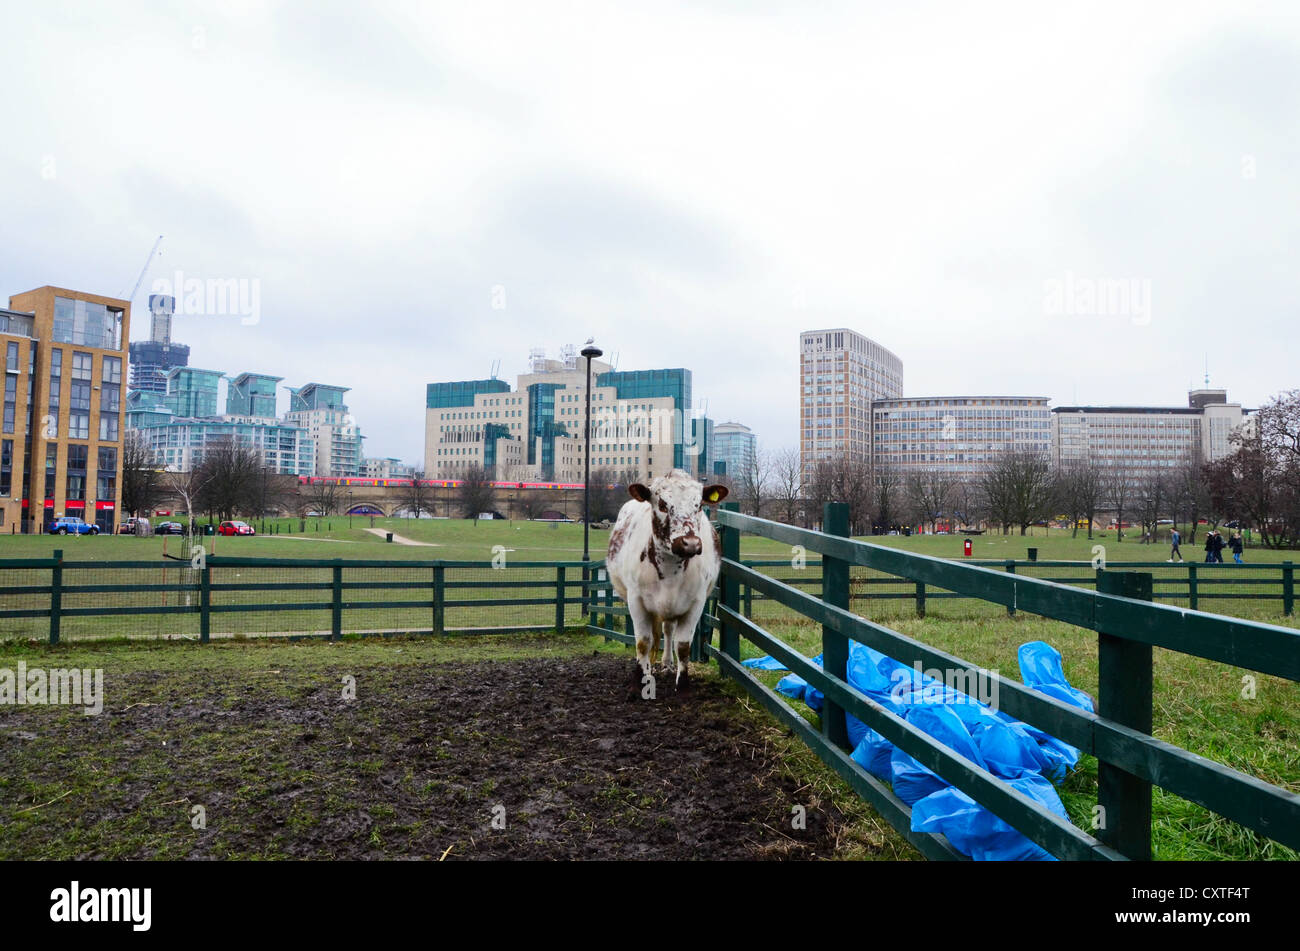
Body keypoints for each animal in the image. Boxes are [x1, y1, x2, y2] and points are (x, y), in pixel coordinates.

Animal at [606, 469, 729, 692]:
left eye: (699, 505)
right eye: (662, 505)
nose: (690, 543)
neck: (670, 570)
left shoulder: (696, 603)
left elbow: (683, 646)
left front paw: (683, 685)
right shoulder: (636, 601)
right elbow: (643, 642)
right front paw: (639, 679)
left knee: (668, 630)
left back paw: (667, 663)